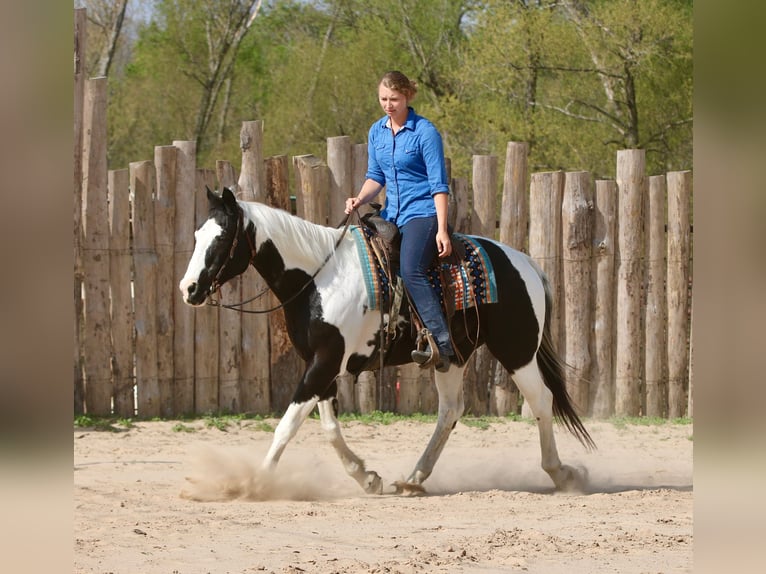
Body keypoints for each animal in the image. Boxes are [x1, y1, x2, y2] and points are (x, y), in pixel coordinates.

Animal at [179, 187, 595, 495]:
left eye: (221, 237)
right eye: (197, 235)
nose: (189, 288)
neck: (319, 277)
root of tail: (524, 262)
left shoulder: (324, 363)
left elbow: (287, 424)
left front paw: (256, 481)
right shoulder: (323, 365)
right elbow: (329, 428)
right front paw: (367, 477)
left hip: (517, 351)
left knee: (541, 401)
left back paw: (561, 473)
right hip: (453, 356)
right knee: (450, 411)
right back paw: (413, 479)